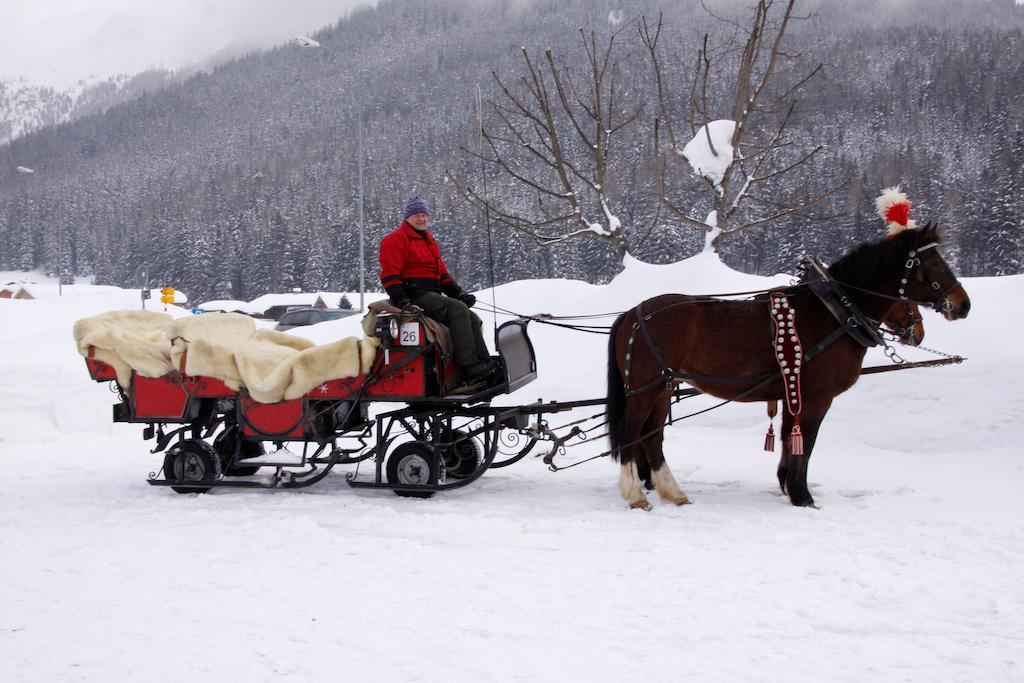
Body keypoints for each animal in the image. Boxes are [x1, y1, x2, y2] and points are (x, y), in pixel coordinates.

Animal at [606, 224, 966, 507]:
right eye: (934, 262)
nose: (963, 305)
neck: (834, 312)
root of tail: (633, 313)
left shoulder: (792, 391)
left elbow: (788, 439)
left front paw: (787, 485)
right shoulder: (817, 396)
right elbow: (806, 443)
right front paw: (803, 496)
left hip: (662, 387)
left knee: (652, 438)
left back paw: (673, 492)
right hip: (645, 389)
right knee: (630, 432)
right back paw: (635, 495)